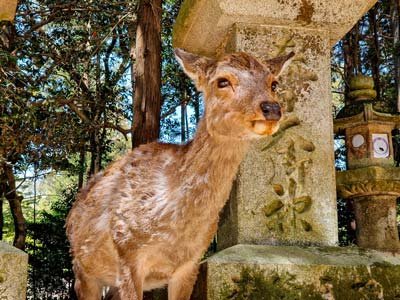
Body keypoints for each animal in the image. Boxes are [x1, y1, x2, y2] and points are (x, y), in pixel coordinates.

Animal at [66, 49, 294, 300]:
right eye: (222, 81)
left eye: (274, 83)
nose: (272, 108)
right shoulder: (127, 248)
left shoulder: (190, 263)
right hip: (82, 271)